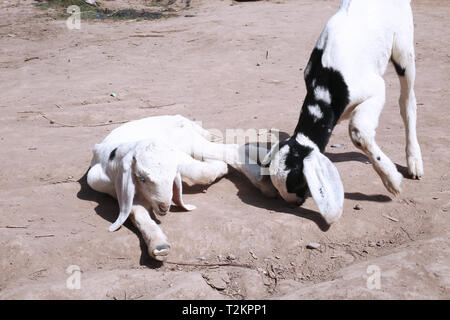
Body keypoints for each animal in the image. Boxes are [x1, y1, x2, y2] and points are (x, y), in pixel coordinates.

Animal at [86, 114, 237, 260]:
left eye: (172, 178)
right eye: (141, 178)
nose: (164, 207)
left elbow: (201, 171)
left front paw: (224, 166)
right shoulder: (121, 191)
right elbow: (137, 213)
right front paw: (159, 247)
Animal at [243, 0, 422, 225]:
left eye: (298, 182)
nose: (295, 203)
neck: (325, 87)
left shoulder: (375, 88)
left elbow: (358, 132)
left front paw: (392, 180)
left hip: (403, 46)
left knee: (407, 101)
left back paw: (414, 160)